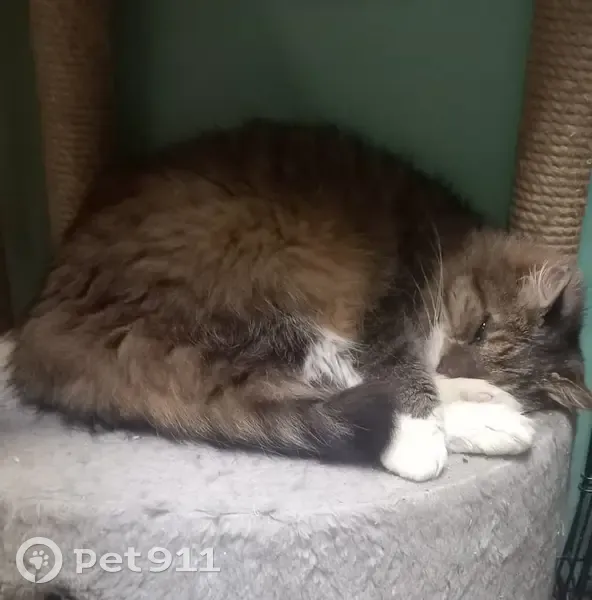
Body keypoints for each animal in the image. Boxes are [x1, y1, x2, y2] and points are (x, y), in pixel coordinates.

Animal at [6, 119, 591, 482]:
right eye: (480, 325)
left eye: (485, 342)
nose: (456, 363)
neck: (448, 236)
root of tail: (46, 315)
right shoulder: (391, 311)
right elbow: (403, 375)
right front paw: (430, 433)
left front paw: (483, 391)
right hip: (270, 302)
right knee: (340, 385)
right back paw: (485, 426)